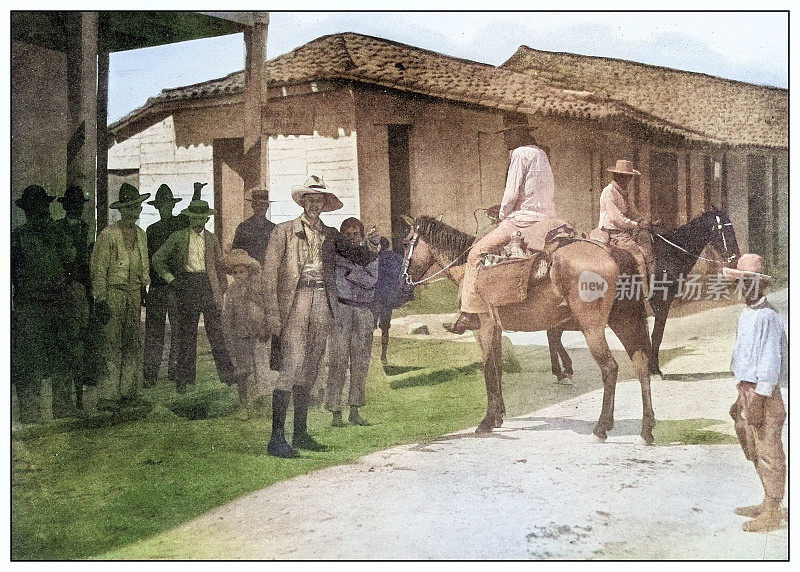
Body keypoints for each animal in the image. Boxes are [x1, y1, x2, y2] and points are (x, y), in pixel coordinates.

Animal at [404, 217, 652, 444]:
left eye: (407, 242)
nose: (403, 279)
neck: (467, 267)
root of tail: (610, 252)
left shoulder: (482, 327)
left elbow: (488, 370)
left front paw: (486, 422)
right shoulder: (496, 329)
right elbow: (497, 369)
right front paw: (498, 416)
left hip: (592, 327)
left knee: (610, 368)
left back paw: (601, 427)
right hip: (624, 320)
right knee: (641, 364)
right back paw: (646, 429)